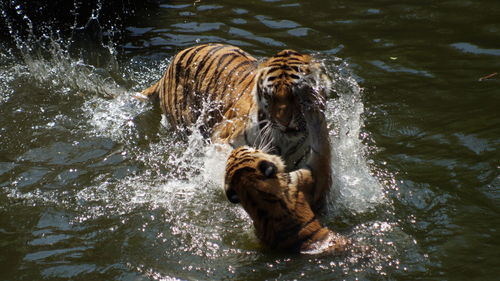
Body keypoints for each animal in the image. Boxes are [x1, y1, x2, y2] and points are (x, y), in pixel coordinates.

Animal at [138, 43, 332, 209]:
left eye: (296, 94)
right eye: (270, 96)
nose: (284, 121)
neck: (285, 141)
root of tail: (173, 61)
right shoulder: (222, 138)